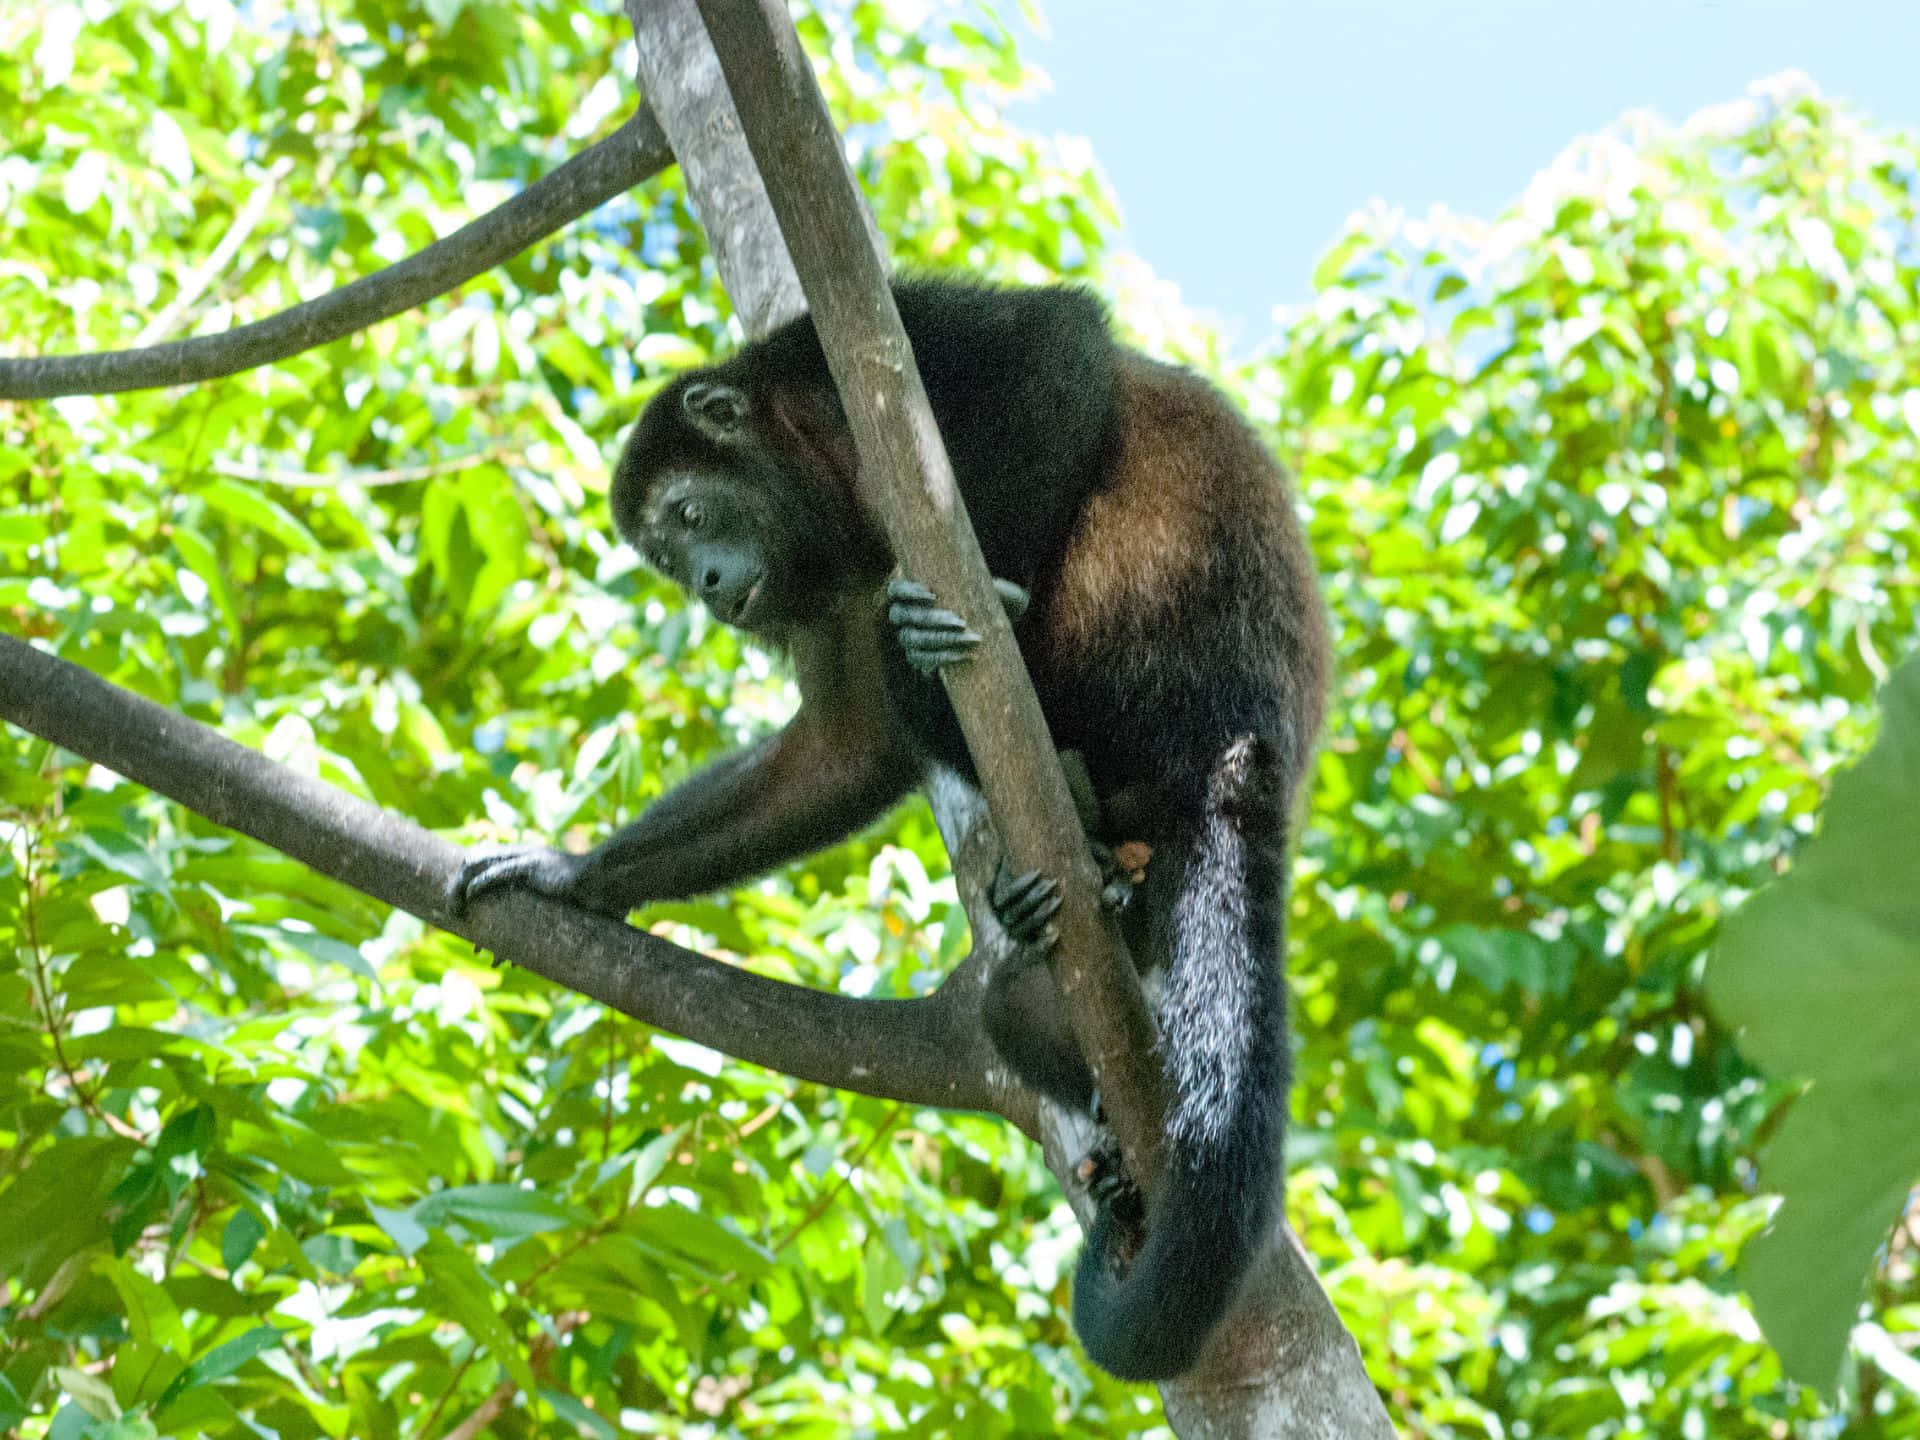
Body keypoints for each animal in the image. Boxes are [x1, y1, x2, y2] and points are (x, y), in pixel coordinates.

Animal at [447, 278, 1329, 1381]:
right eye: (667, 559)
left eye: (687, 515)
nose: (709, 588)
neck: (817, 478)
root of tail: (1243, 748)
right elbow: (843, 750)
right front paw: (574, 873)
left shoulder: (846, 357)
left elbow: (1055, 344)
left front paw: (986, 597)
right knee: (1011, 1008)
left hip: (1156, 657)